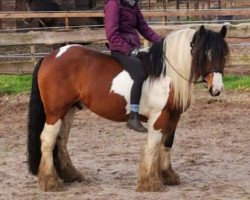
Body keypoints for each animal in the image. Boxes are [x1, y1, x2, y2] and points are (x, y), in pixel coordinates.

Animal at [26, 25, 229, 191]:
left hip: (69, 110)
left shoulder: (173, 116)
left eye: (224, 55)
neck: (166, 73)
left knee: (61, 139)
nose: (216, 89)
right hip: (55, 112)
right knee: (47, 140)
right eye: (205, 53)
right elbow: (153, 144)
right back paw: (50, 182)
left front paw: (168, 176)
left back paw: (71, 175)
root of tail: (49, 57)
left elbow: (166, 144)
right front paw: (149, 182)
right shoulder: (159, 115)